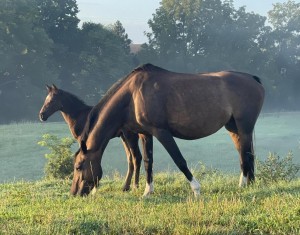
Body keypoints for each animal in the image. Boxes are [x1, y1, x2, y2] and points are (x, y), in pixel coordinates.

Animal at [71, 63, 264, 196]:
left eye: (79, 166)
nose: (74, 193)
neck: (132, 95)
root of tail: (253, 78)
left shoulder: (161, 132)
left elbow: (179, 160)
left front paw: (196, 189)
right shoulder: (145, 134)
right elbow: (148, 161)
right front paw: (147, 192)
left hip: (244, 127)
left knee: (246, 154)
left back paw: (244, 184)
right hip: (233, 128)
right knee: (245, 155)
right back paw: (247, 184)